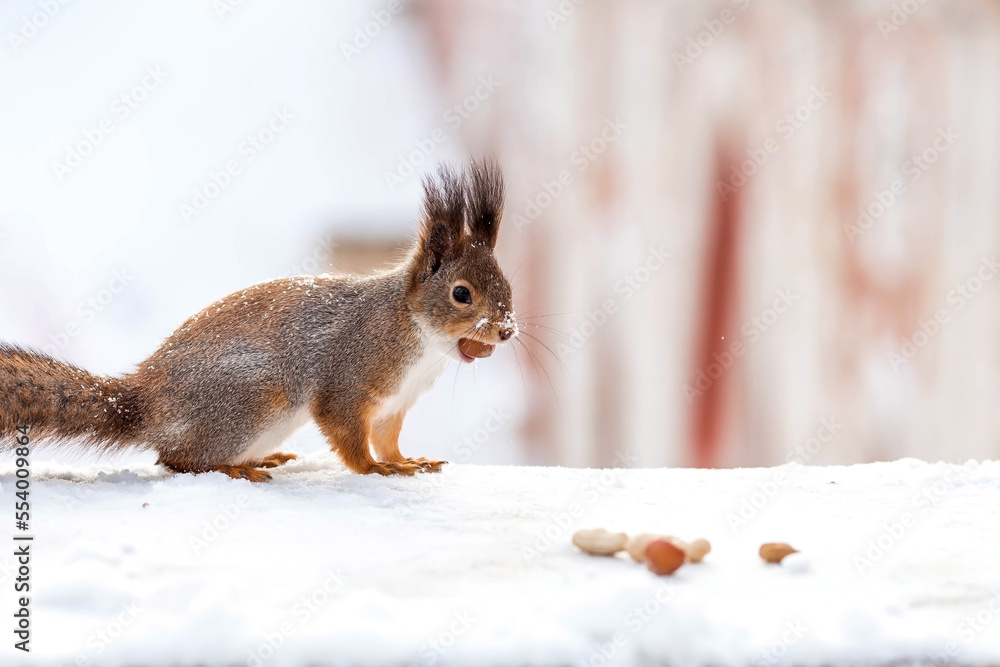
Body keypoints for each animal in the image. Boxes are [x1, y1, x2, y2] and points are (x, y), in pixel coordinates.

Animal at [0, 158, 517, 482]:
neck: (420, 339)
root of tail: (145, 406)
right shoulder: (350, 375)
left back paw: (265, 457)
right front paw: (374, 468)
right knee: (177, 459)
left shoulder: (395, 404)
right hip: (255, 394)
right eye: (461, 294)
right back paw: (235, 467)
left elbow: (388, 439)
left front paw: (409, 461)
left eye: (506, 285)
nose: (508, 329)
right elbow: (348, 434)